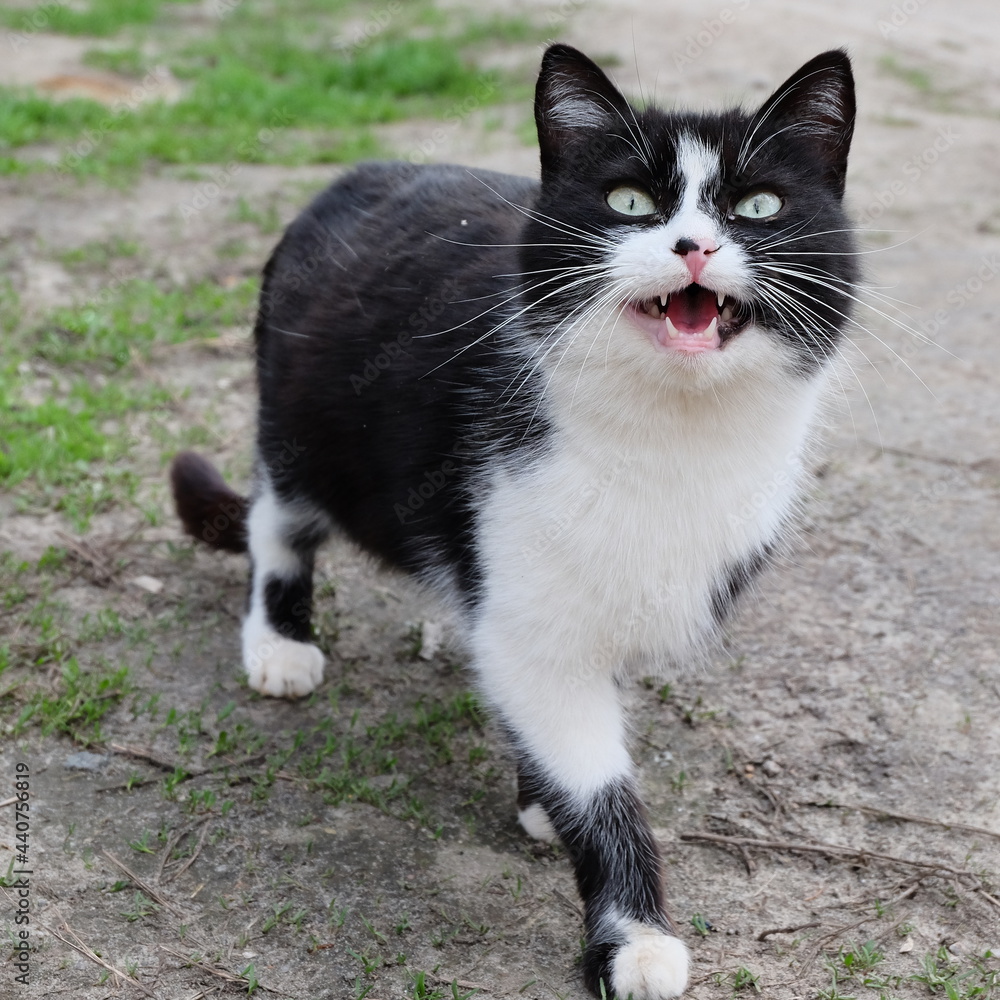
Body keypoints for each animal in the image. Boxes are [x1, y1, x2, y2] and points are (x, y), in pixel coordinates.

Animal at [174, 47, 860, 1000]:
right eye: (629, 202)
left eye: (759, 206)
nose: (694, 246)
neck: (671, 435)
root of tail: (360, 172)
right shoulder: (520, 577)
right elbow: (597, 778)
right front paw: (633, 935)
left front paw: (544, 796)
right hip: (300, 421)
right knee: (279, 520)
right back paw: (279, 639)